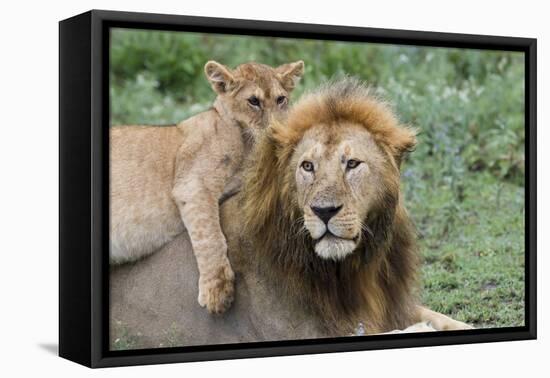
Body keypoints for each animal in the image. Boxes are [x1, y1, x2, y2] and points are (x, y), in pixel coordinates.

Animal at [110, 78, 472, 350]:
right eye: (307, 166)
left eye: (352, 164)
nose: (324, 211)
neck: (353, 267)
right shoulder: (295, 330)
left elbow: (444, 319)